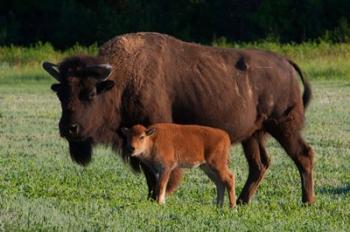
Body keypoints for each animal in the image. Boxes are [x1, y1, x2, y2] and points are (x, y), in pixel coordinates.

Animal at [42, 32, 316, 203]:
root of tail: (285, 63)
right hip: (253, 135)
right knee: (259, 164)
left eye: (89, 93)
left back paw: (307, 201)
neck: (121, 81)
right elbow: (148, 171)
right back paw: (242, 201)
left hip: (284, 127)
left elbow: (157, 173)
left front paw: (159, 197)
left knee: (303, 155)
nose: (69, 128)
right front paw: (151, 197)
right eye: (61, 93)